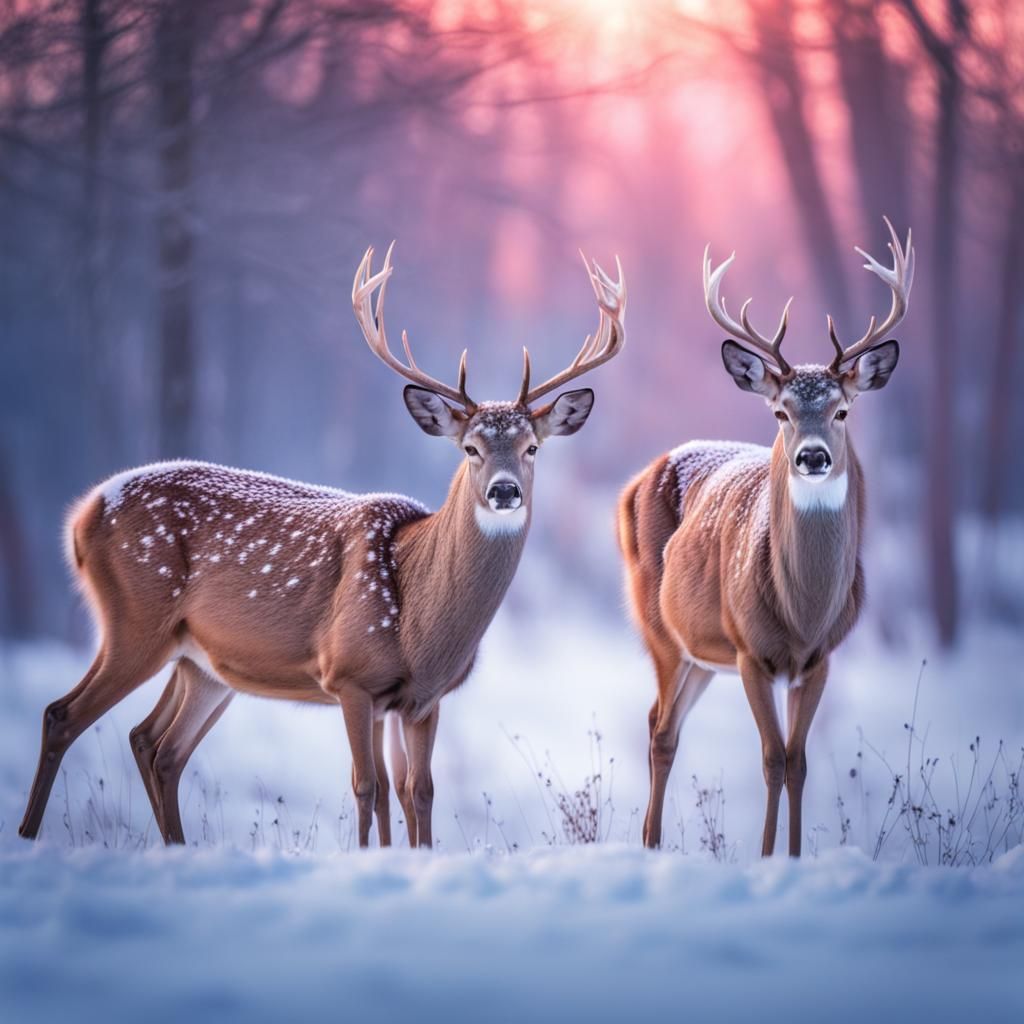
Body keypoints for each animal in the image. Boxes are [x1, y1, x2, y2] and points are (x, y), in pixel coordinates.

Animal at [19, 243, 626, 848]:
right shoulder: (350, 675)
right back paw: (29, 835)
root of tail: (84, 514)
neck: (420, 622)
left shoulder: (420, 700)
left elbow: (416, 792)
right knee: (62, 715)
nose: (504, 490)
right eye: (471, 448)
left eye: (532, 447)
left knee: (155, 745)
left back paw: (174, 845)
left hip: (201, 663)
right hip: (134, 619)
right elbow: (367, 787)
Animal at [618, 217, 913, 856]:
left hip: (702, 656)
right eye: (780, 412)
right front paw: (766, 856)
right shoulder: (751, 651)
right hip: (659, 627)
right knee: (660, 729)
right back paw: (650, 843)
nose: (812, 456)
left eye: (843, 410)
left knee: (660, 721)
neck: (802, 612)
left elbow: (799, 762)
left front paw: (796, 857)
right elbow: (772, 758)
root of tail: (637, 478)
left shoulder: (819, 659)